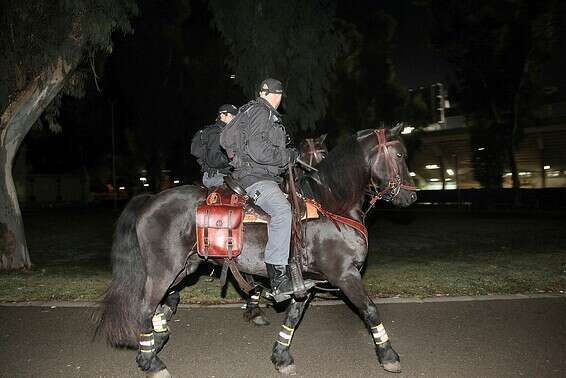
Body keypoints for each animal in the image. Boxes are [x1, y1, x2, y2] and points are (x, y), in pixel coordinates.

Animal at [96, 125, 418, 376]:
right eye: (400, 155)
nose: (411, 197)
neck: (331, 206)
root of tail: (150, 198)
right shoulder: (345, 275)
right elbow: (370, 310)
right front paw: (389, 355)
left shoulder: (307, 281)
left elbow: (293, 316)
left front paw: (281, 356)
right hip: (164, 269)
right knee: (146, 307)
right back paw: (151, 360)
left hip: (184, 268)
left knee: (163, 303)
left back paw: (155, 341)